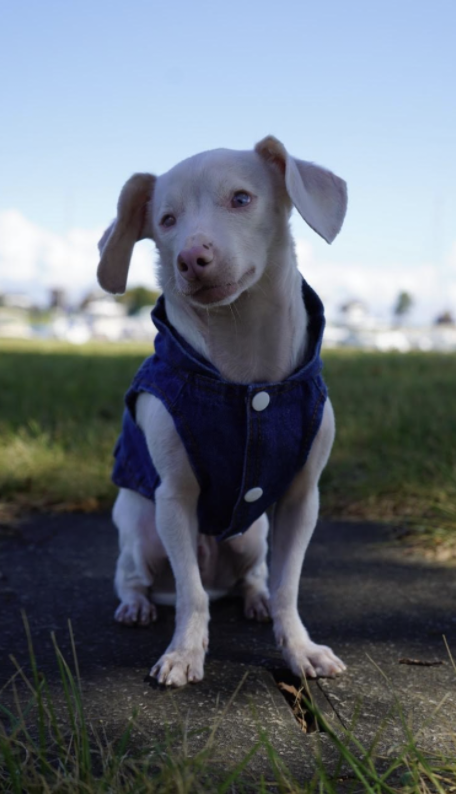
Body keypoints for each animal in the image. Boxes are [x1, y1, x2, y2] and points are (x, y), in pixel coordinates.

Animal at [95, 133, 346, 684]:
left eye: (241, 199)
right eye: (166, 220)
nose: (192, 257)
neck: (246, 366)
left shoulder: (302, 498)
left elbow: (289, 585)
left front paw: (299, 648)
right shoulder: (174, 499)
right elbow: (190, 597)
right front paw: (185, 653)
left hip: (253, 537)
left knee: (254, 578)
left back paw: (255, 600)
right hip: (141, 530)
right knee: (139, 577)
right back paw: (137, 606)